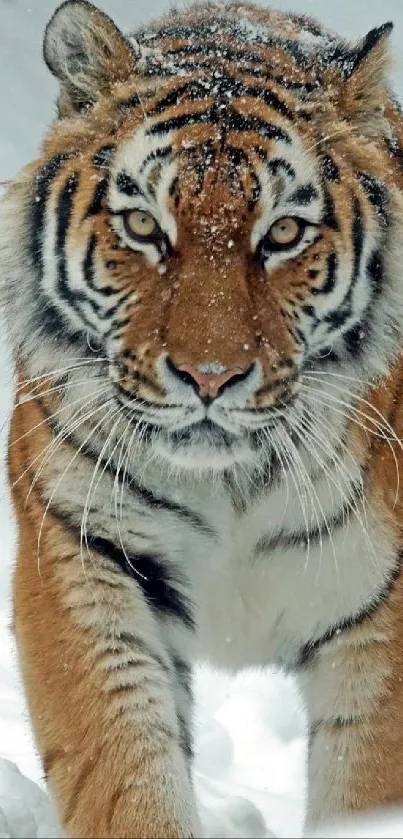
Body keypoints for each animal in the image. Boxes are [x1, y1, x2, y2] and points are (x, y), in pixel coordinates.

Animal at [3, 0, 403, 836]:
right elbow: (123, 775)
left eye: (282, 233)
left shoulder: (382, 617)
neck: (230, 484)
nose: (209, 376)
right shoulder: (81, 556)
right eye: (142, 226)